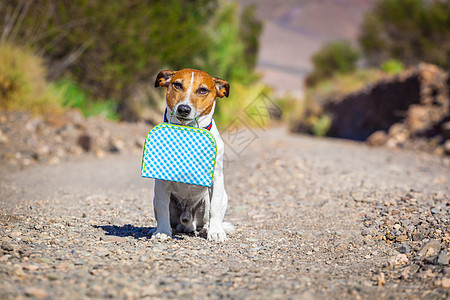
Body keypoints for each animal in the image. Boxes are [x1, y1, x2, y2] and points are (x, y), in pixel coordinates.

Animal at [153, 68, 234, 241]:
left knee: (209, 216)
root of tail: (187, 222)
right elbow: (163, 208)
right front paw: (162, 231)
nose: (183, 109)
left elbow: (215, 208)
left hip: (218, 198)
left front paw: (216, 232)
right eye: (177, 85)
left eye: (202, 90)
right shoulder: (161, 182)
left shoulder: (216, 178)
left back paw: (207, 229)